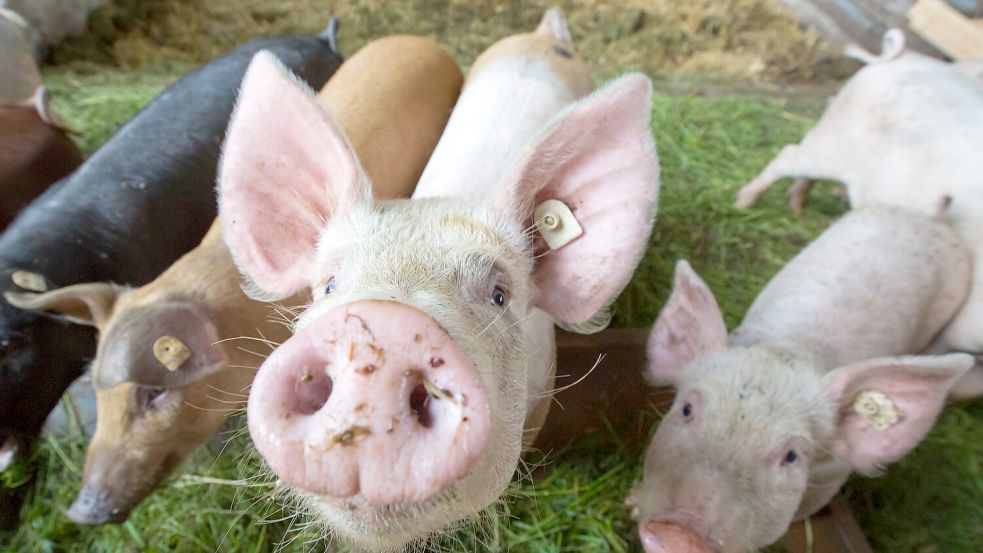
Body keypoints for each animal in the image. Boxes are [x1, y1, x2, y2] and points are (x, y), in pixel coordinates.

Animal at [632, 206, 976, 552]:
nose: (680, 533)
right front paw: (632, 504)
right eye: (687, 410)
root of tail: (932, 216)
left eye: (792, 456)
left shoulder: (833, 475)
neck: (789, 349)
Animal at [736, 28, 983, 398]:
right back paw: (744, 202)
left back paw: (797, 206)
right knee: (787, 154)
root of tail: (902, 57)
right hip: (828, 145)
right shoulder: (962, 324)